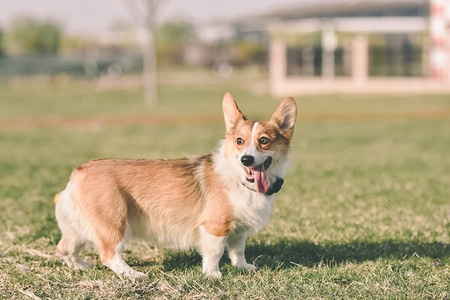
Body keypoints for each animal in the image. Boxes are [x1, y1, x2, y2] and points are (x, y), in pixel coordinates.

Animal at [55, 92, 296, 278]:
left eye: (263, 140)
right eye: (239, 141)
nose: (246, 159)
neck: (238, 178)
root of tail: (78, 172)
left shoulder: (238, 231)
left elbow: (238, 251)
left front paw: (243, 268)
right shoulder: (215, 227)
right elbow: (215, 253)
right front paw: (213, 275)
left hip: (80, 226)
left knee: (65, 247)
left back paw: (80, 266)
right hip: (114, 222)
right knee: (108, 254)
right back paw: (133, 274)